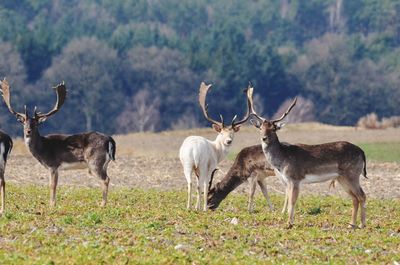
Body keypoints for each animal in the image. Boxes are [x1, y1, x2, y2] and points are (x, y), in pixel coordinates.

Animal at [0, 78, 115, 206]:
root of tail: (110, 140)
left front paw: (52, 204)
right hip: (104, 164)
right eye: (24, 123)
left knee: (106, 179)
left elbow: (52, 185)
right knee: (107, 178)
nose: (28, 131)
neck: (42, 149)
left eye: (36, 124)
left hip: (95, 162)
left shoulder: (53, 164)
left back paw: (102, 204)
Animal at [180, 82, 252, 210]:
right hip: (203, 164)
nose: (228, 141)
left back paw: (189, 207)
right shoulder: (212, 165)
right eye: (221, 133)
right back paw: (202, 208)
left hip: (187, 163)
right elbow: (205, 185)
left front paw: (196, 206)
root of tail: (194, 150)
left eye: (232, 133)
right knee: (202, 185)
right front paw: (202, 207)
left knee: (190, 183)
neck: (216, 151)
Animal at [248, 86, 368, 227]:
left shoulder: (295, 178)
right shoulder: (288, 180)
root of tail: (362, 152)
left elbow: (292, 201)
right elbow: (290, 200)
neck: (282, 160)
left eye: (273, 129)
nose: (264, 138)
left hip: (352, 174)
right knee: (354, 198)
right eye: (260, 128)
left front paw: (289, 224)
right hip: (342, 177)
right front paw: (288, 222)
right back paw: (351, 224)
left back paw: (362, 224)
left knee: (362, 196)